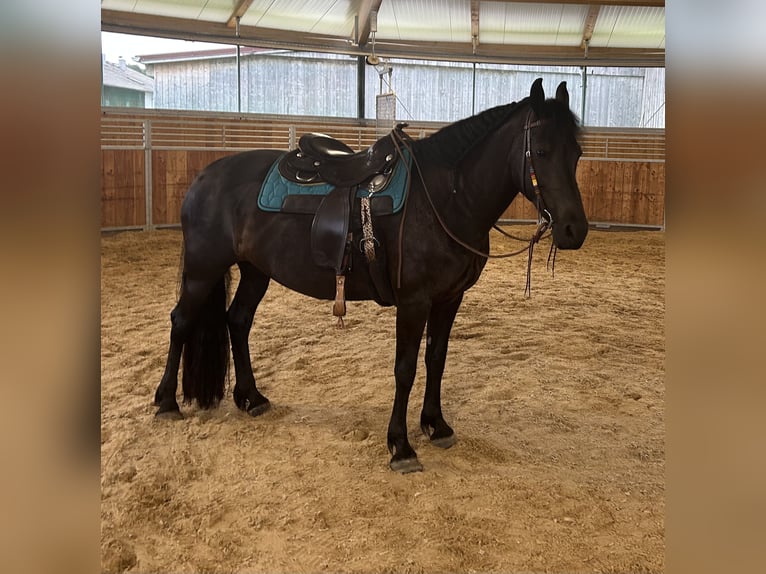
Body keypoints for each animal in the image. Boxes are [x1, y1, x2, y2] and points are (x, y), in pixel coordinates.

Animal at [153, 78, 588, 473]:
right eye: (542, 151)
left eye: (577, 153)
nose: (574, 230)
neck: (446, 198)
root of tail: (205, 177)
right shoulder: (414, 301)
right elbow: (405, 368)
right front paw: (401, 446)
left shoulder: (449, 298)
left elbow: (437, 358)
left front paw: (436, 425)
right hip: (202, 270)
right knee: (181, 322)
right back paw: (166, 402)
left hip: (255, 271)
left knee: (238, 321)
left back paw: (251, 397)